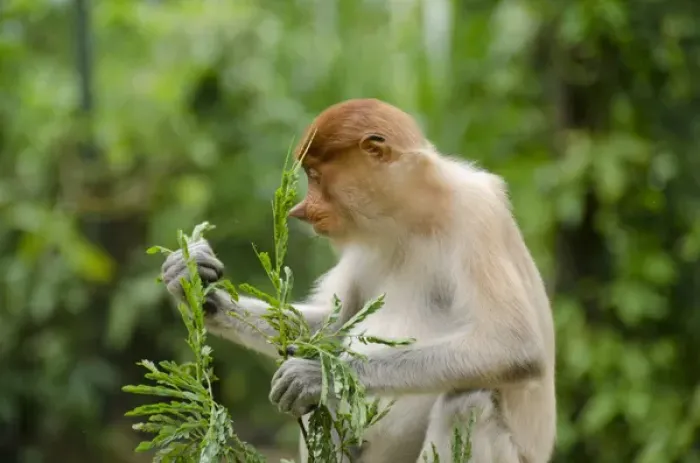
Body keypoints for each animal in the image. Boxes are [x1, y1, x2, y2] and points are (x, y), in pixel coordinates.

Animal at [161, 98, 556, 463]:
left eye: (316, 176)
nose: (300, 210)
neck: (411, 218)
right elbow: (330, 327)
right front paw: (191, 278)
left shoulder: (475, 215)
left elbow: (513, 346)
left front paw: (316, 377)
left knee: (468, 400)